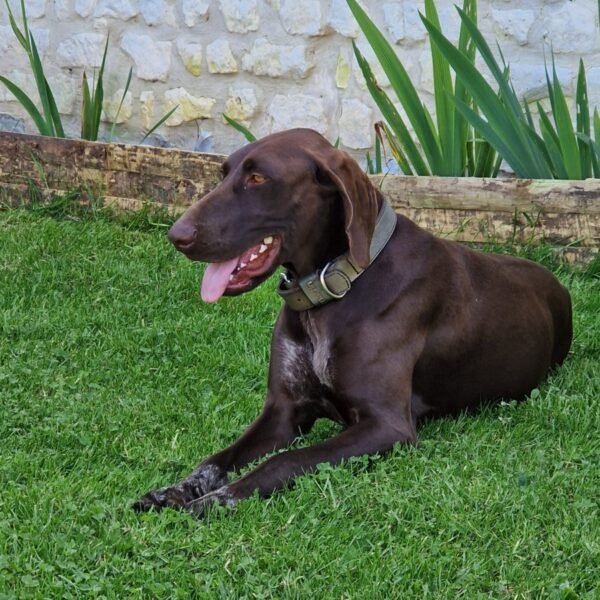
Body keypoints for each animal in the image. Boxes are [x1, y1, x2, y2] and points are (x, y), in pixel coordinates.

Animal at [132, 129, 572, 516]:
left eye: (258, 178)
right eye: (224, 173)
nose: (177, 235)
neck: (333, 287)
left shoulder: (387, 425)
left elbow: (283, 461)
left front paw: (217, 500)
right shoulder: (284, 410)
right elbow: (217, 459)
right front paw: (176, 490)